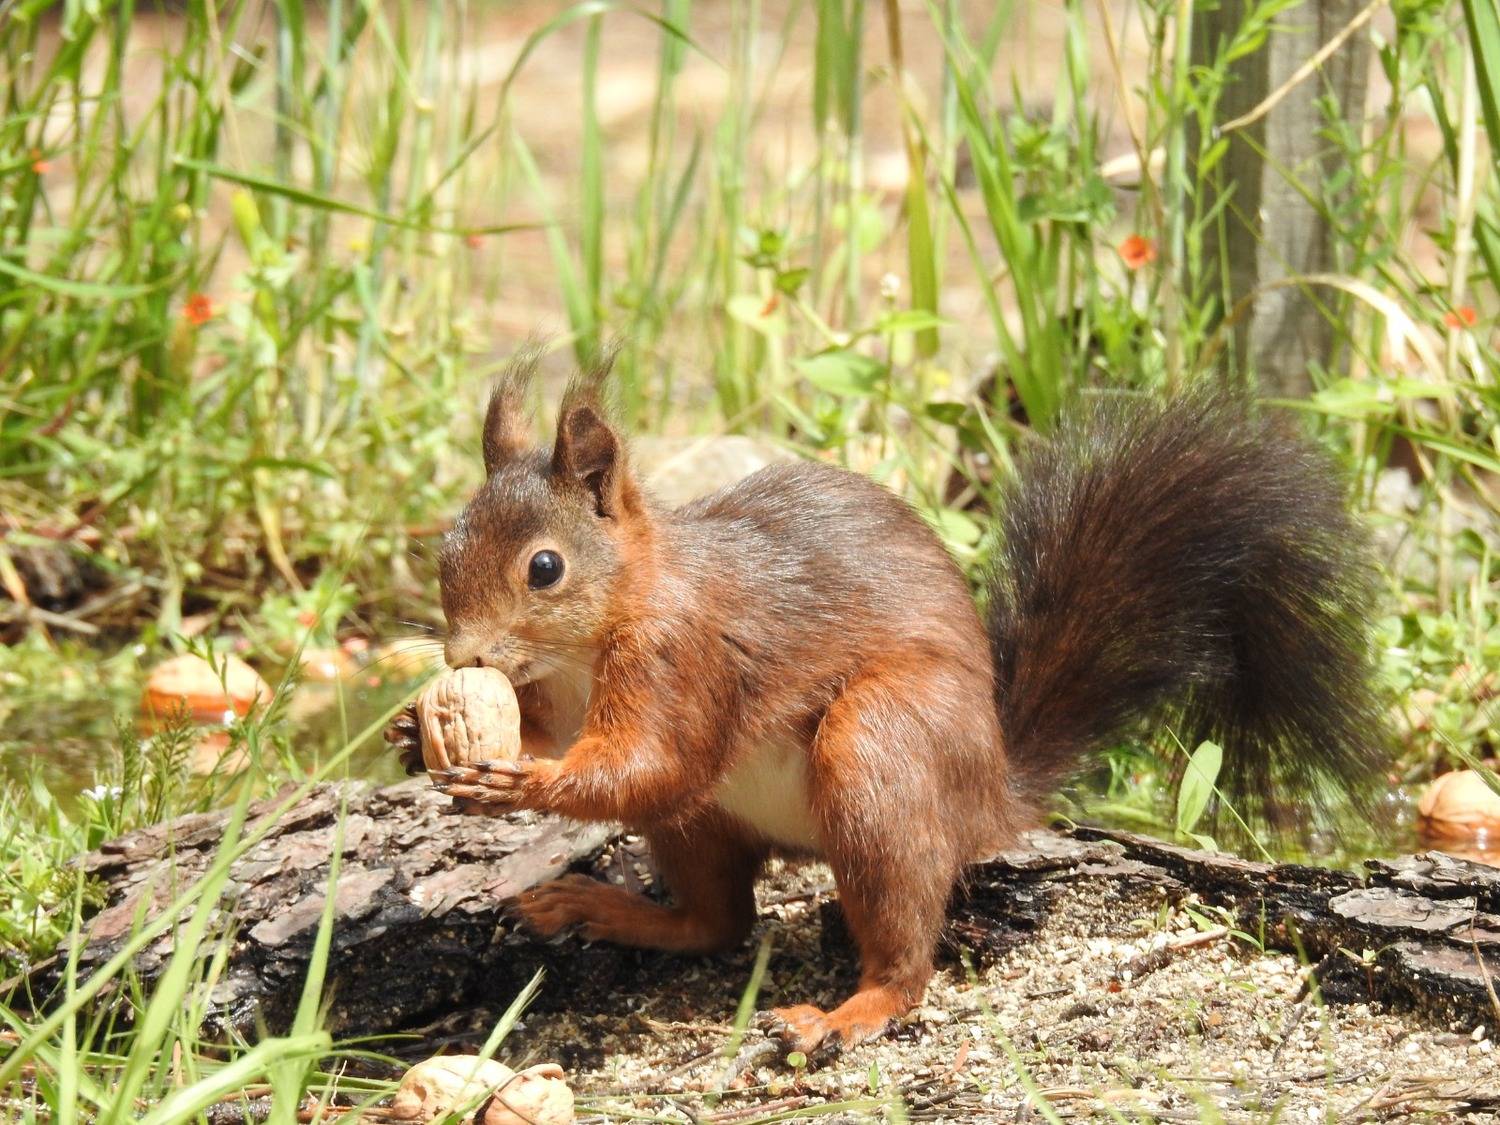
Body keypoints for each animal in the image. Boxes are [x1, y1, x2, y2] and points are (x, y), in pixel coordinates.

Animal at [384, 355, 1387, 1053]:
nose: (464, 655)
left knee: (900, 949)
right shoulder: (555, 690)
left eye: (545, 567)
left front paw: (516, 778)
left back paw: (847, 1012)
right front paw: (410, 731)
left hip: (880, 748)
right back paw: (601, 907)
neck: (602, 629)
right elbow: (571, 737)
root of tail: (994, 793)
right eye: (446, 546)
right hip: (706, 823)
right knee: (717, 921)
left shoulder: (682, 654)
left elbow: (649, 761)